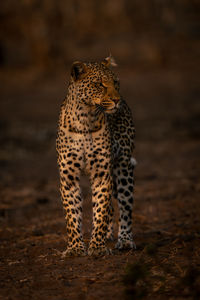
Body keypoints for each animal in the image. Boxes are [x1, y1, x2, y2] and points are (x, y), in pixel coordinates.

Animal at [56, 55, 136, 255]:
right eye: (100, 84)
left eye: (116, 83)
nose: (117, 100)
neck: (86, 118)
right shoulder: (68, 176)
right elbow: (72, 214)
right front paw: (75, 248)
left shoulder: (102, 174)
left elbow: (100, 211)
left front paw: (97, 247)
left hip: (124, 167)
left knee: (125, 207)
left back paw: (125, 240)